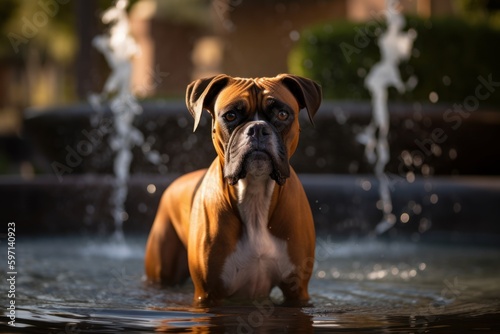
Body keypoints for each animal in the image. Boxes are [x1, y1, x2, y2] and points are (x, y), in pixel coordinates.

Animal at [144, 73, 320, 306]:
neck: (255, 194)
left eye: (282, 114)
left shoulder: (297, 291)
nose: (257, 128)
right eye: (230, 116)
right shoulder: (209, 293)